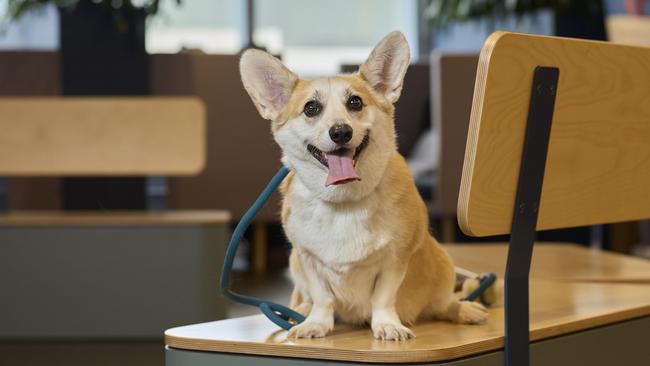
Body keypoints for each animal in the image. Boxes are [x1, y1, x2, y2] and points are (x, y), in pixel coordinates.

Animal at [240, 30, 484, 340]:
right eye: (311, 108)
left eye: (355, 102)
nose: (341, 132)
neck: (344, 201)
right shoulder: (307, 259)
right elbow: (323, 297)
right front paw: (317, 323)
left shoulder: (395, 260)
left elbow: (383, 298)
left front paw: (387, 325)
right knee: (304, 299)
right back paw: (302, 312)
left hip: (443, 264)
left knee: (444, 303)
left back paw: (464, 310)